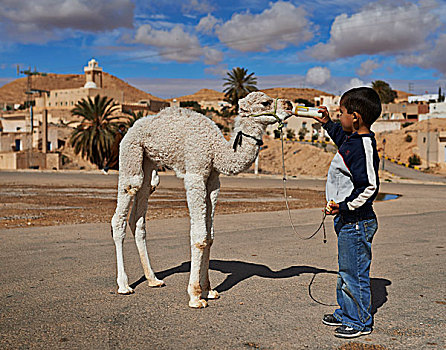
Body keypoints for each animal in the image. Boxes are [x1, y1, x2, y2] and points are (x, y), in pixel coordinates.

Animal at [111, 91, 292, 308]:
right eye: (265, 102)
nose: (289, 105)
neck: (216, 150)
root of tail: (131, 127)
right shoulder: (195, 175)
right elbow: (199, 237)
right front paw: (196, 295)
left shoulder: (213, 181)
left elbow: (210, 236)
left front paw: (209, 290)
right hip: (131, 154)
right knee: (121, 213)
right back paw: (124, 285)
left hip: (148, 162)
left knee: (138, 216)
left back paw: (153, 279)